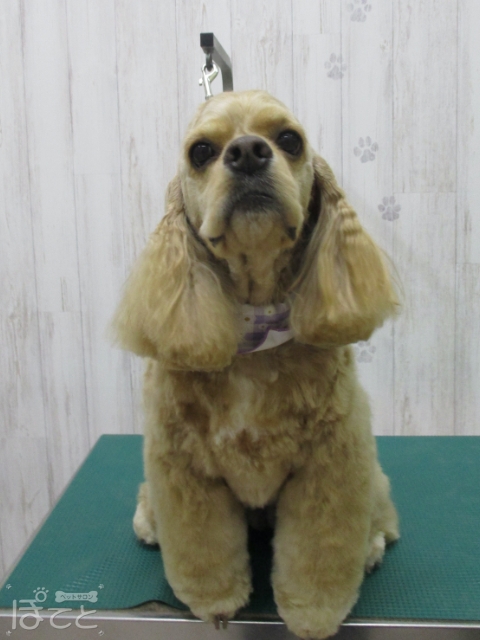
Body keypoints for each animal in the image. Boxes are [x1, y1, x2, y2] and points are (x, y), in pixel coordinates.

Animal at [112, 90, 400, 639]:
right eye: (201, 151)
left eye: (289, 139)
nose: (247, 152)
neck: (256, 335)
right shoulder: (181, 467)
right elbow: (202, 545)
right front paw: (215, 602)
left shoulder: (331, 462)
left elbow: (320, 549)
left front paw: (313, 614)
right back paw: (146, 523)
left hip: (368, 476)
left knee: (380, 507)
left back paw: (374, 544)